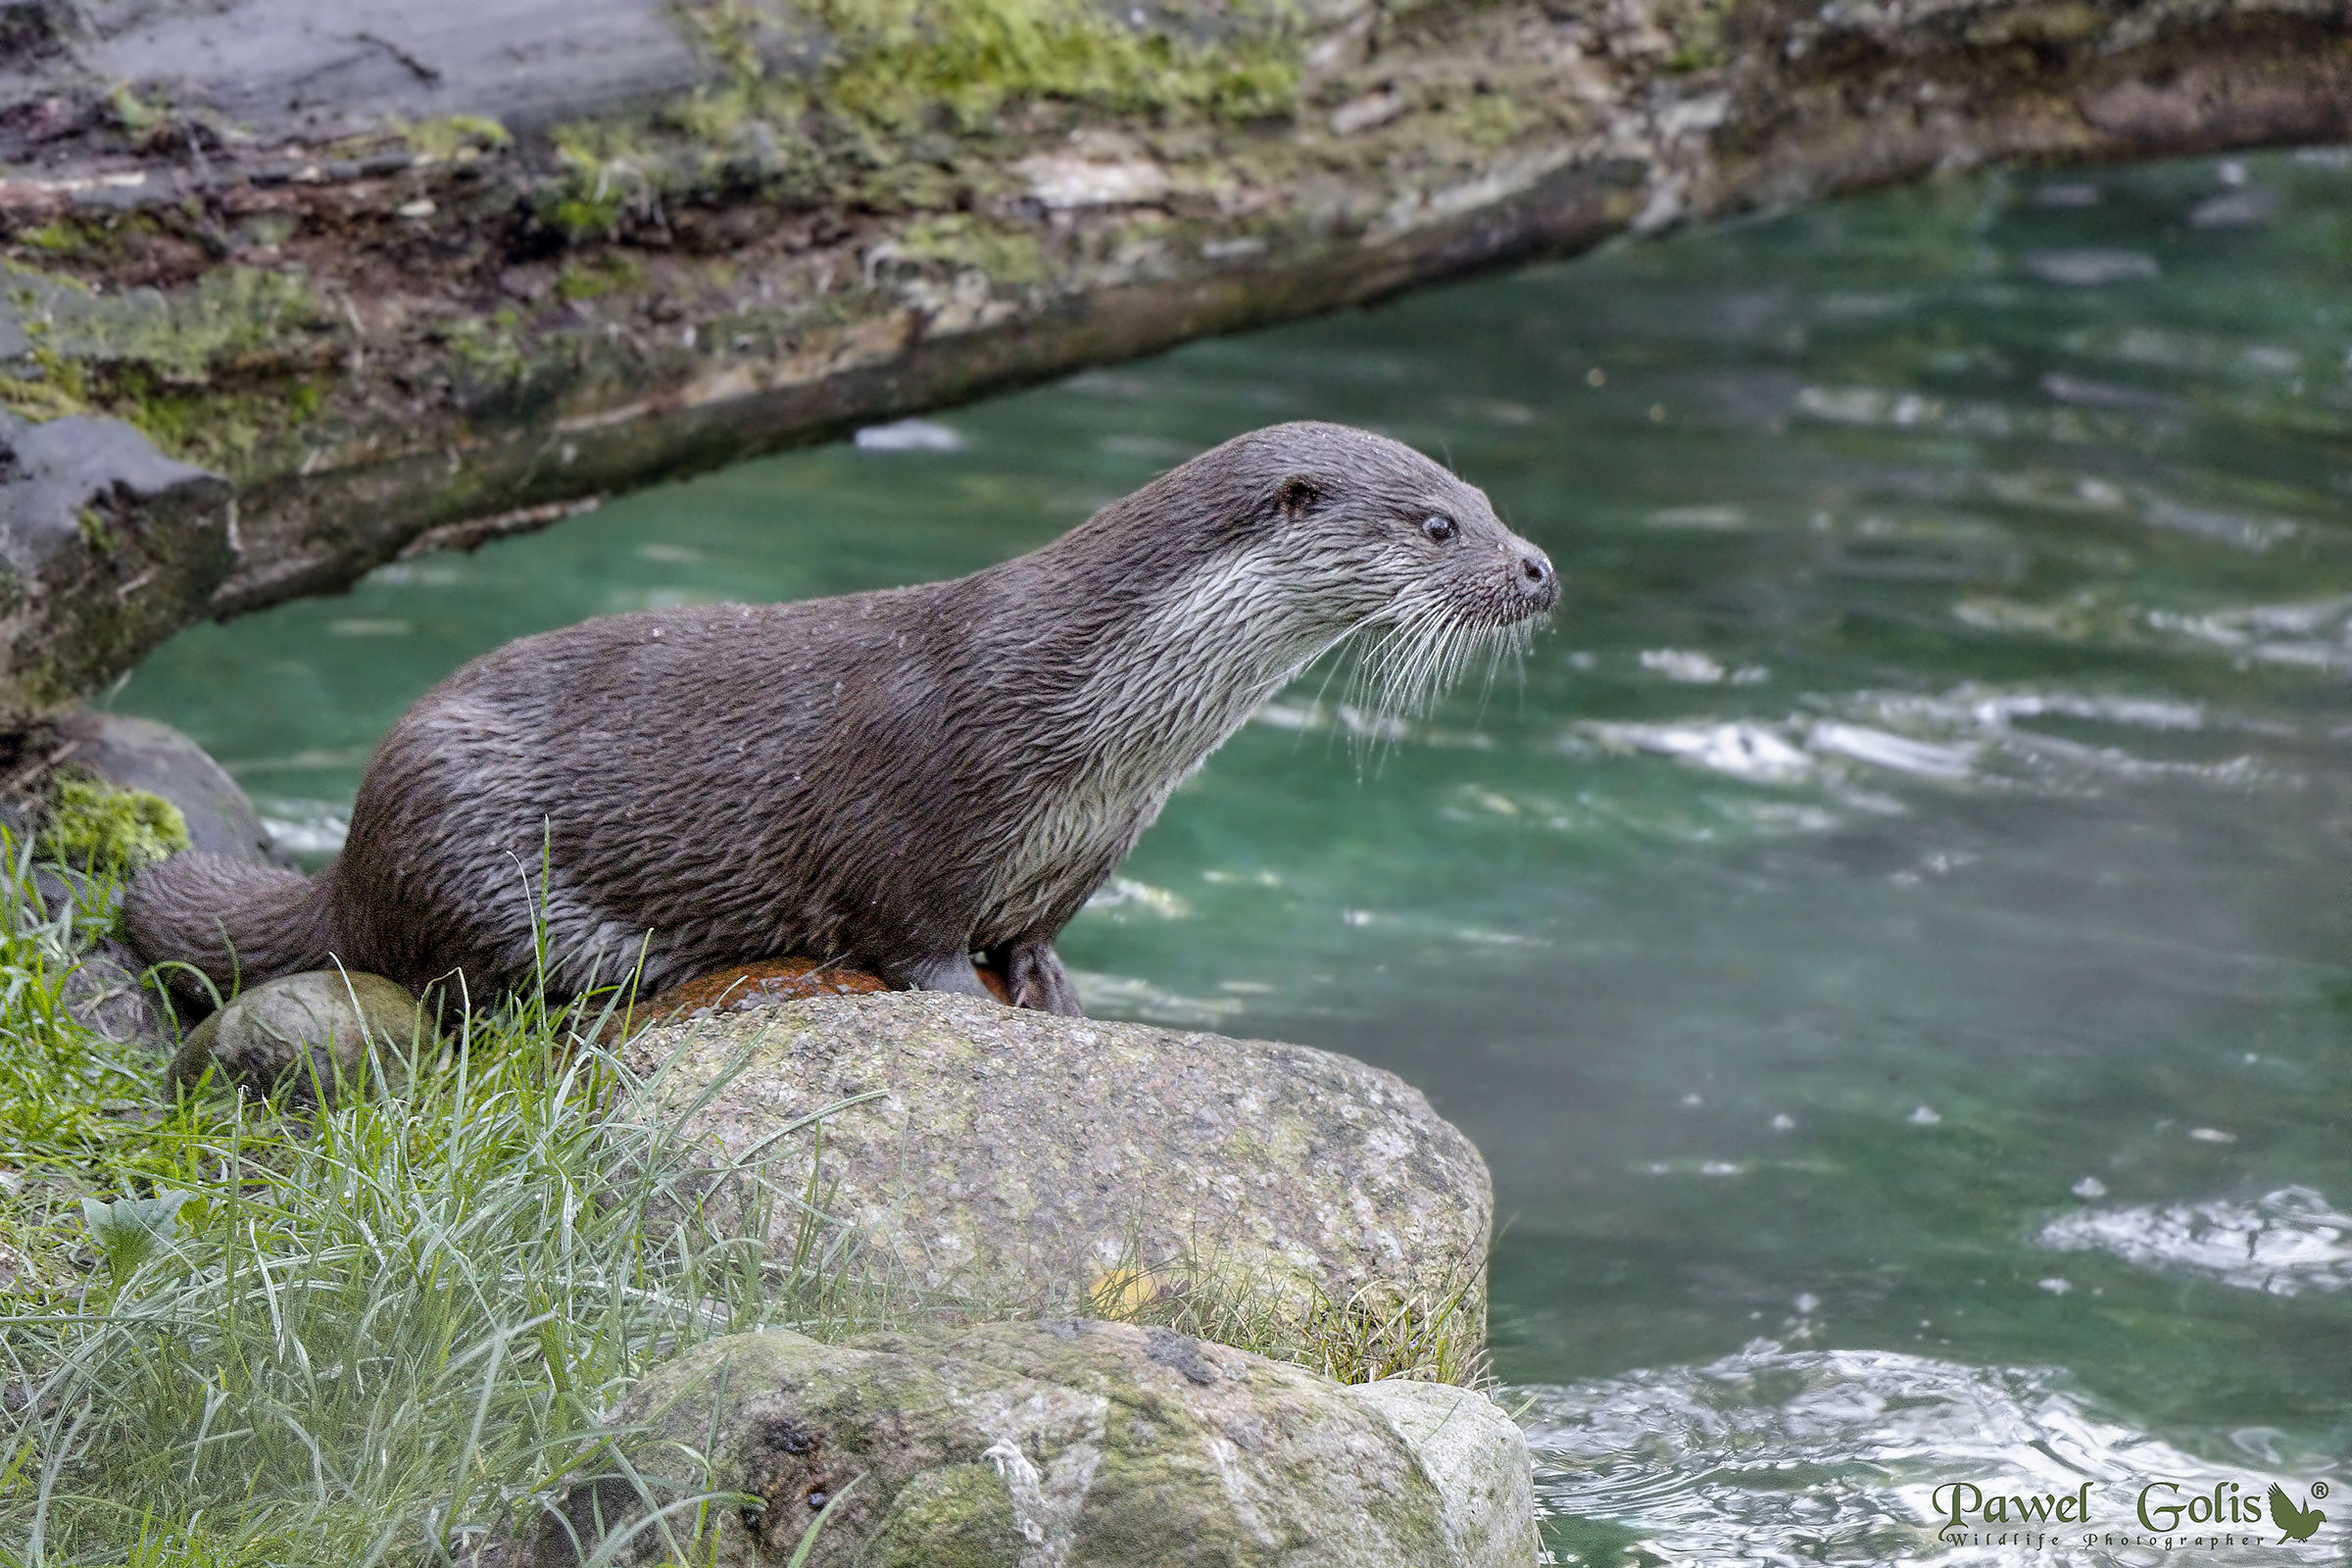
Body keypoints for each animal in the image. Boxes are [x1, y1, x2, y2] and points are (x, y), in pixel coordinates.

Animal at [124, 422, 1557, 1016]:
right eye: (1439, 524)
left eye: (1492, 503)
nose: (1541, 567)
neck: (1090, 716)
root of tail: (349, 856)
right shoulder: (912, 809)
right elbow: (907, 931)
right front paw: (969, 999)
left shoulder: (1089, 848)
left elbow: (1031, 930)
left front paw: (1050, 985)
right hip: (456, 825)